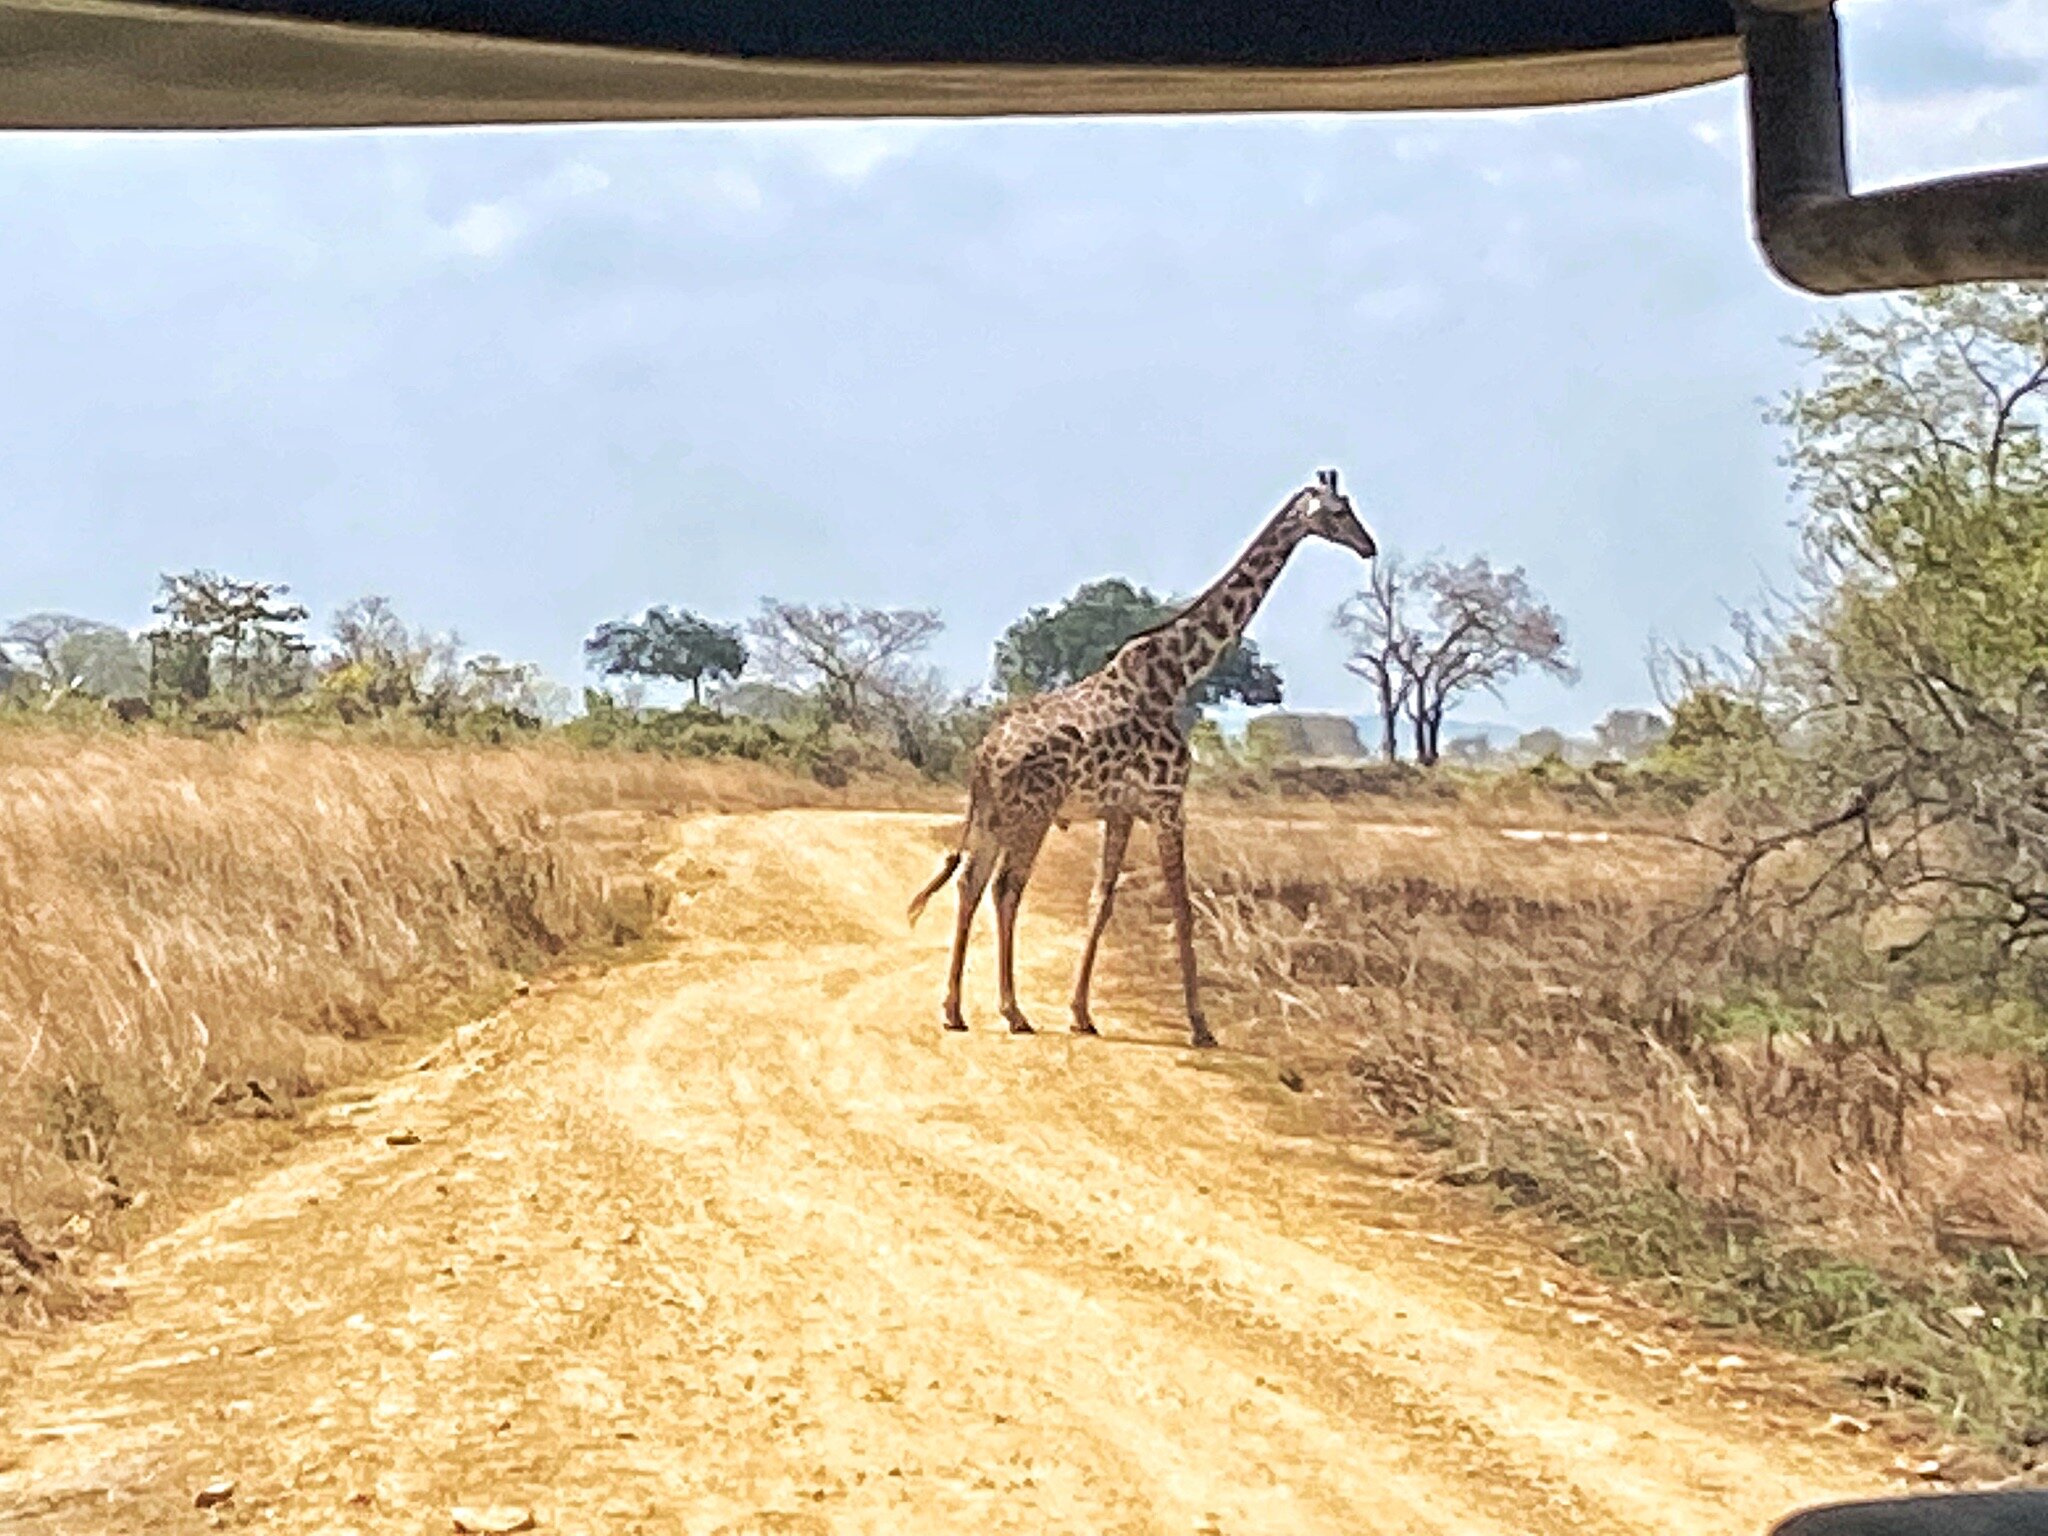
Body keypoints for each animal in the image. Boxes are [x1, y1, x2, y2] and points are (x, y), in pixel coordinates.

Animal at [907, 469, 1377, 1048]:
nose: (1368, 546)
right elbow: (1183, 907)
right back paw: (1013, 1011)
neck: (1178, 673)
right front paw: (1200, 1025)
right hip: (1032, 812)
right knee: (1005, 888)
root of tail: (986, 751)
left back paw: (954, 1009)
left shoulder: (1122, 811)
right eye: (1337, 512)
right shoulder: (1169, 803)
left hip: (994, 813)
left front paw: (1081, 1013)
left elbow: (1101, 901)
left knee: (971, 884)